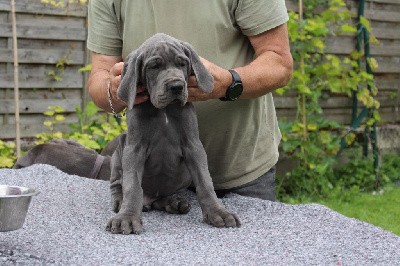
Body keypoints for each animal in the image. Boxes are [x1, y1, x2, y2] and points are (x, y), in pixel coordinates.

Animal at [106, 33, 242, 235]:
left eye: (182, 63)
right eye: (154, 66)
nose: (177, 86)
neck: (165, 110)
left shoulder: (193, 145)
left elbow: (205, 183)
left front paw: (218, 212)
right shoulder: (134, 149)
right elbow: (132, 186)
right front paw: (127, 217)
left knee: (160, 199)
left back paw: (174, 203)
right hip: (119, 149)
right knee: (117, 183)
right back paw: (120, 201)